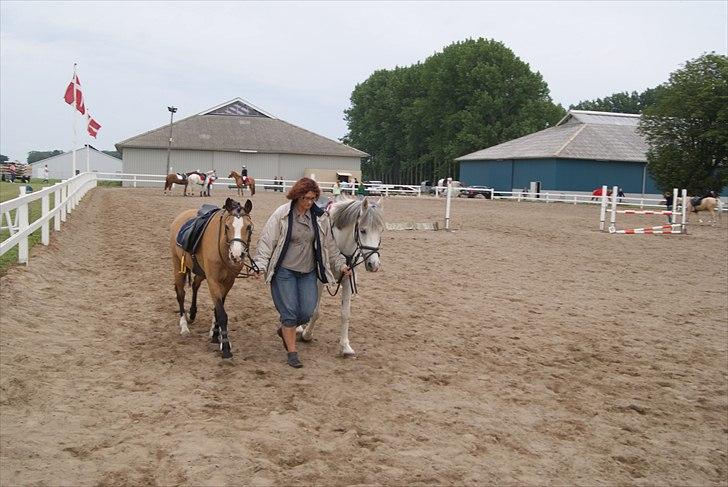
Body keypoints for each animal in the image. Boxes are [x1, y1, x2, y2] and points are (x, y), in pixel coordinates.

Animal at [170, 197, 254, 359]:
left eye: (249, 227)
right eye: (227, 227)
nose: (237, 255)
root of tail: (181, 217)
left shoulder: (228, 282)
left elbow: (217, 308)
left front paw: (216, 335)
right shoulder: (213, 280)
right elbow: (221, 313)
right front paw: (226, 347)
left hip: (201, 272)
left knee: (195, 285)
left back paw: (193, 313)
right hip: (178, 266)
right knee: (180, 294)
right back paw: (184, 326)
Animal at [299, 197, 385, 356]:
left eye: (380, 231)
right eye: (362, 230)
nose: (374, 264)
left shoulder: (348, 279)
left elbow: (345, 314)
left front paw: (345, 346)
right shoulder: (319, 280)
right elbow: (315, 310)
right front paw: (306, 334)